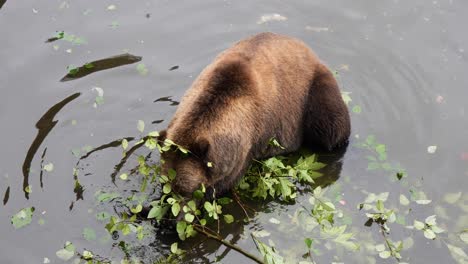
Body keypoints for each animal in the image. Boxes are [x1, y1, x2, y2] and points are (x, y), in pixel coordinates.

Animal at [159, 32, 350, 196]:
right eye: (166, 186)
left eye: (186, 191)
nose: (172, 215)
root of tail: (304, 46)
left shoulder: (245, 146)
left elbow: (225, 181)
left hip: (313, 92)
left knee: (332, 127)